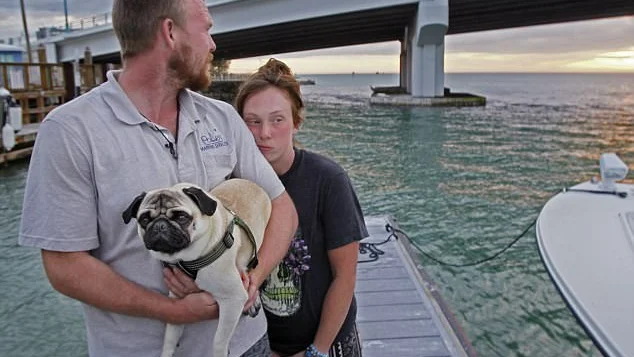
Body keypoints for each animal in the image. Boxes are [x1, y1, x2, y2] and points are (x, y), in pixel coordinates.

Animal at [122, 179, 270, 354]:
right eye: (144, 220)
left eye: (181, 217)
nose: (159, 225)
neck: (185, 259)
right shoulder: (178, 300)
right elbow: (170, 335)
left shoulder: (233, 299)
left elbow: (219, 340)